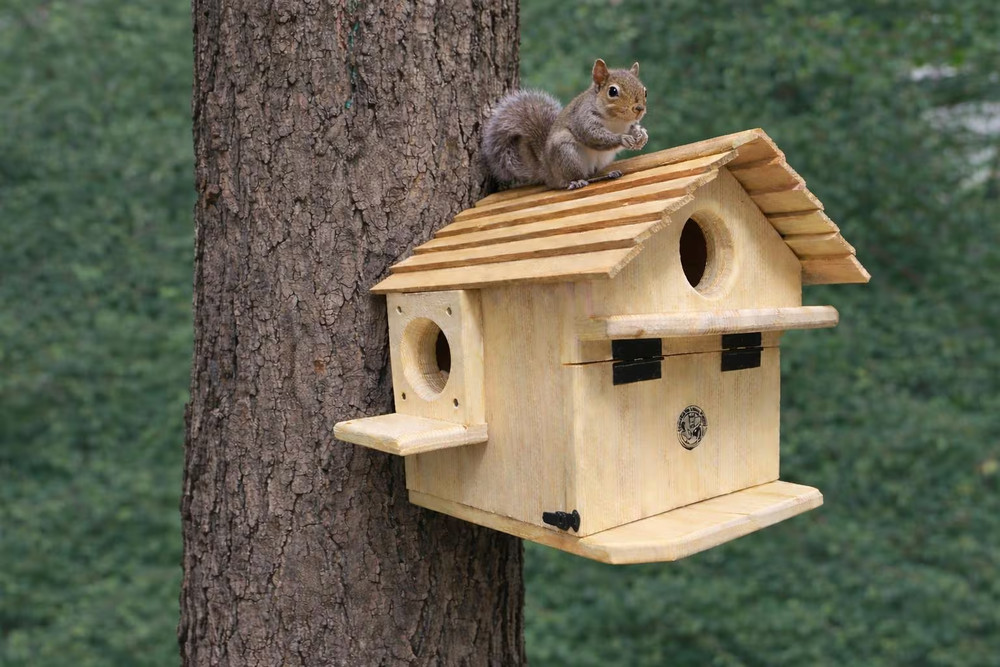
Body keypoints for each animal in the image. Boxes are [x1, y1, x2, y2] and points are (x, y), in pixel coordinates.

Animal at [481, 59, 648, 191]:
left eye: (645, 91)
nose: (639, 109)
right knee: (569, 180)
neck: (617, 121)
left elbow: (633, 129)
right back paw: (578, 181)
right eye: (612, 91)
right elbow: (593, 136)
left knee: (590, 174)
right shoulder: (583, 118)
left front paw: (641, 135)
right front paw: (623, 138)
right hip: (567, 152)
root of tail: (548, 171)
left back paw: (607, 174)